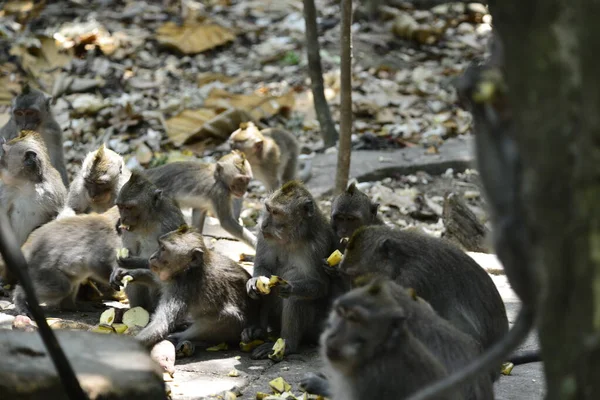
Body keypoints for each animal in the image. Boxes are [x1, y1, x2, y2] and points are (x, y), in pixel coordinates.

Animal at [109, 171, 185, 312]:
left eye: (129, 207)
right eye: (120, 207)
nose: (123, 218)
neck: (147, 221)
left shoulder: (169, 223)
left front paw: (131, 263)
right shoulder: (128, 229)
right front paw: (117, 269)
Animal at [243, 181, 338, 360]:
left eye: (276, 212)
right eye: (267, 209)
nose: (264, 224)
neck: (291, 238)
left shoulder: (318, 245)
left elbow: (321, 285)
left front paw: (290, 287)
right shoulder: (263, 236)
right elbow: (263, 267)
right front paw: (254, 282)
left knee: (295, 287)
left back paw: (287, 344)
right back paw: (258, 330)